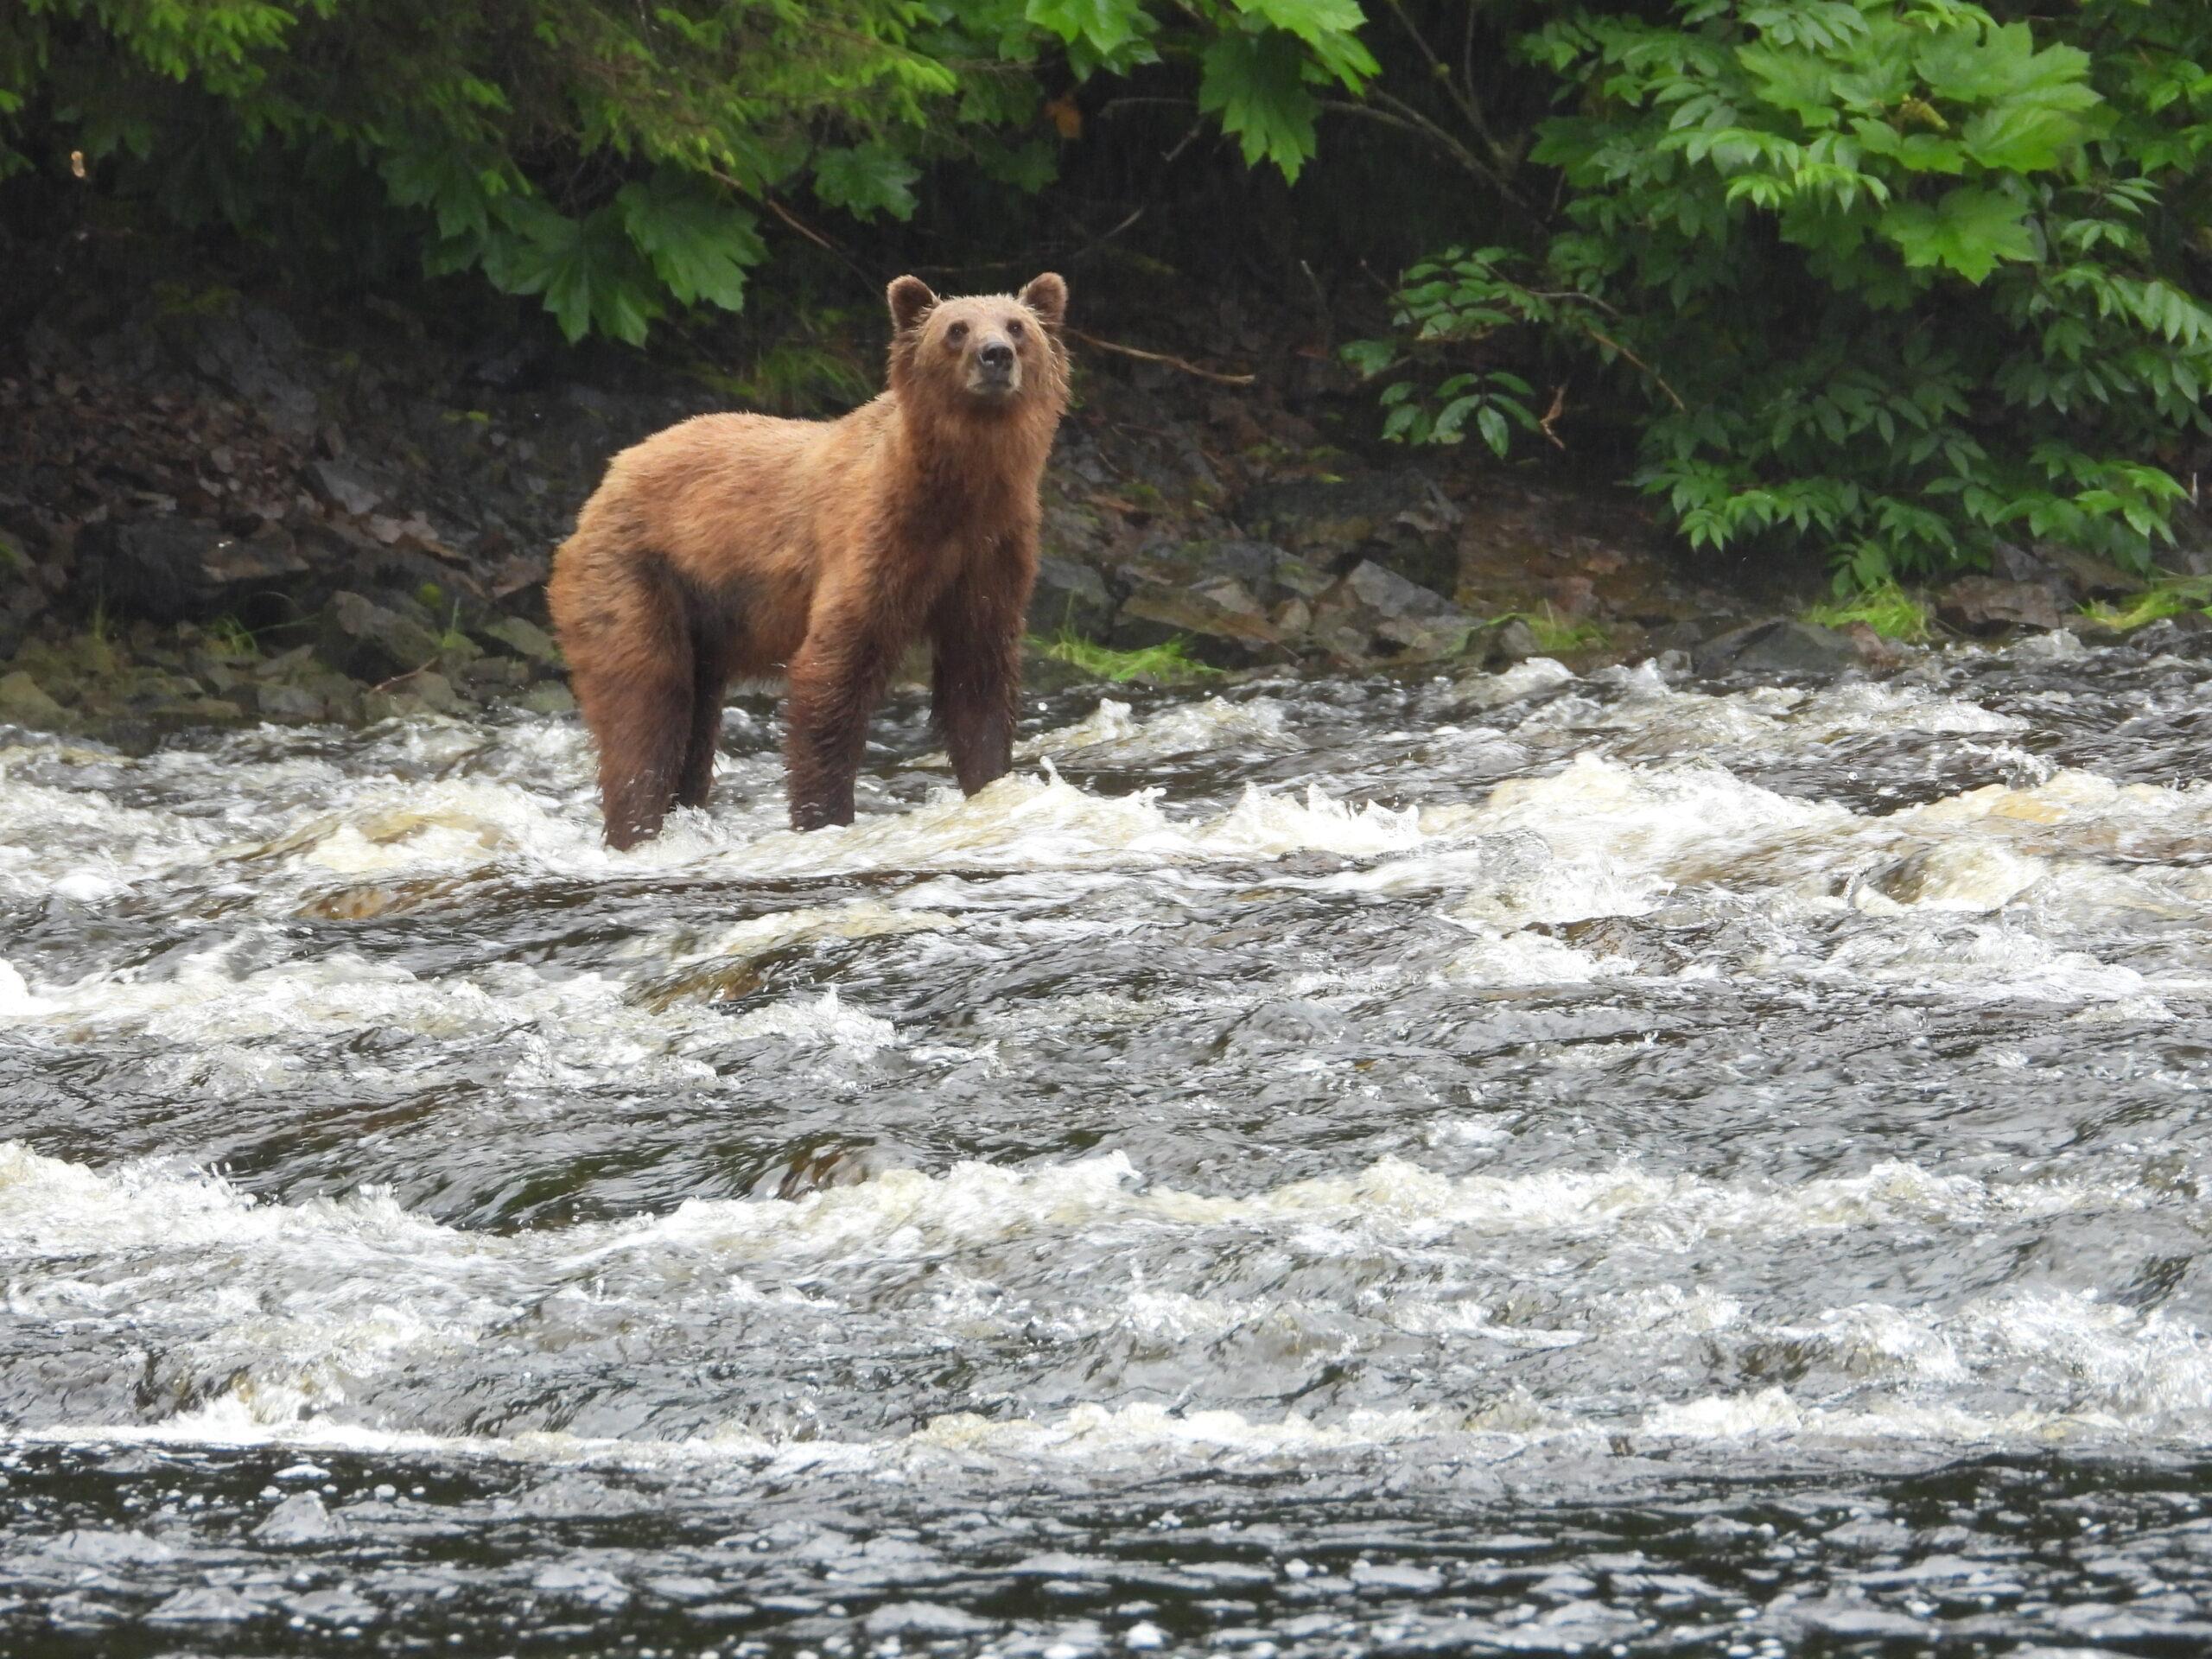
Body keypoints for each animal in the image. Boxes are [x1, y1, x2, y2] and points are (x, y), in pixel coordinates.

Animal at [550, 276, 1071, 844]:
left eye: (1017, 326)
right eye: (956, 329)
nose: (994, 355)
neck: (959, 493)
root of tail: (608, 477)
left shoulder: (992, 556)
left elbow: (978, 680)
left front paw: (991, 783)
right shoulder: (878, 542)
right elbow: (833, 672)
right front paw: (825, 815)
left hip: (705, 618)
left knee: (696, 720)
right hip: (637, 571)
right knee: (645, 703)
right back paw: (638, 826)